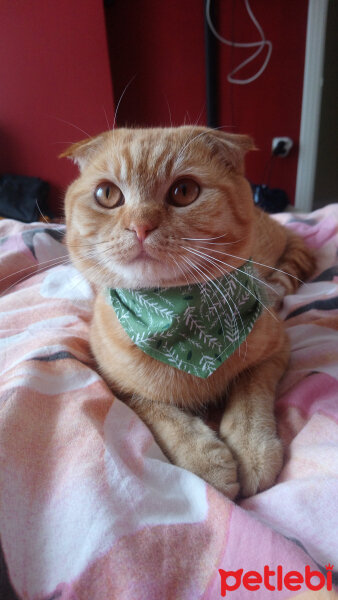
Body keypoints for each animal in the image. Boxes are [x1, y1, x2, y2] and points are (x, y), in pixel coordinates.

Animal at [62, 127, 316, 502]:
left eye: (184, 191)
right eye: (107, 194)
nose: (140, 226)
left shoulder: (275, 350)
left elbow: (250, 397)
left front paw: (251, 450)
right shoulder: (115, 384)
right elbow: (161, 414)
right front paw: (204, 461)